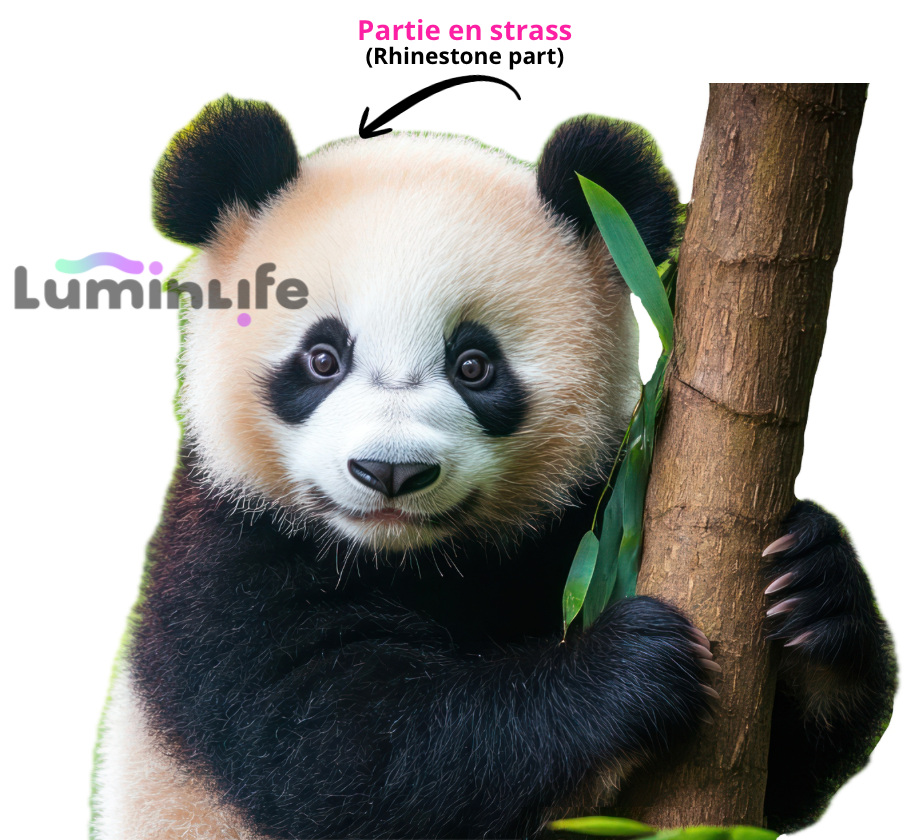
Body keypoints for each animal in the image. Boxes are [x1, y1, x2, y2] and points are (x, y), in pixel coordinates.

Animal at [91, 96, 896, 840]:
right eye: (322, 358)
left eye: (474, 365)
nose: (390, 472)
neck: (418, 558)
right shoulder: (226, 567)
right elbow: (355, 755)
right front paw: (624, 668)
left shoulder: (576, 520)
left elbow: (781, 776)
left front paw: (813, 587)